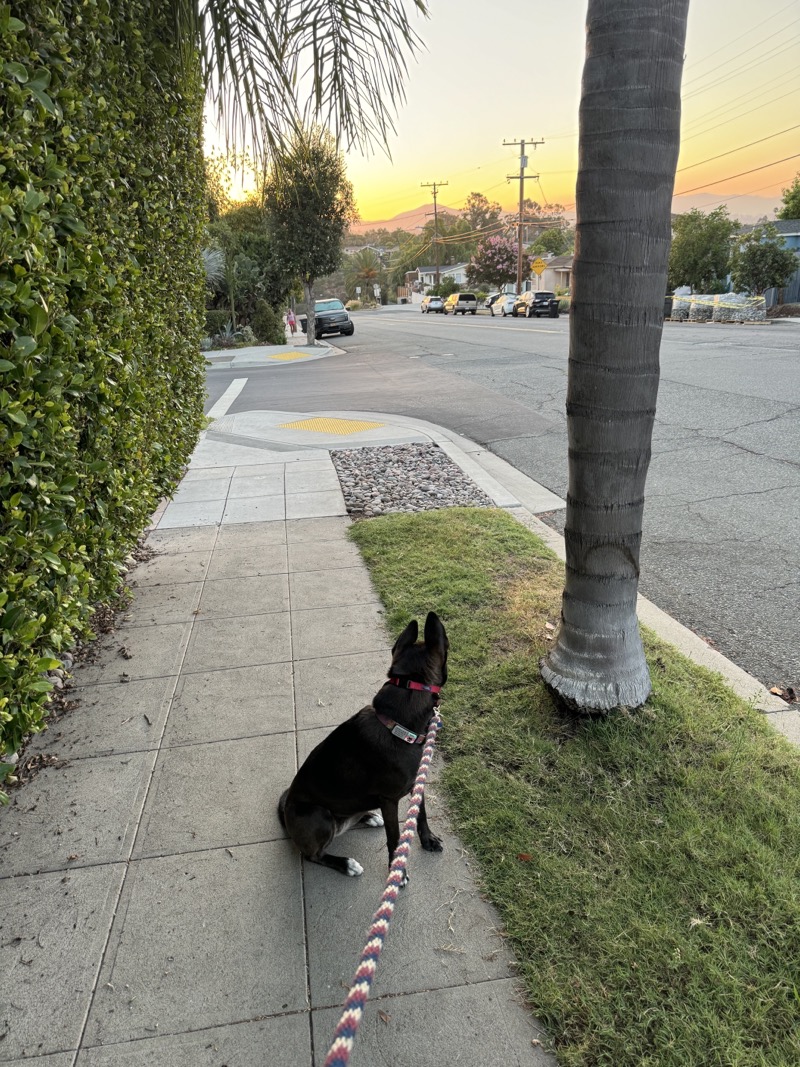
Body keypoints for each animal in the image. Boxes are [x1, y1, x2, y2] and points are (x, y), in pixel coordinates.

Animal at [279, 614, 448, 879]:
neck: (397, 724)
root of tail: (285, 813)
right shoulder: (389, 800)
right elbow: (395, 837)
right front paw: (396, 871)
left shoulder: (416, 783)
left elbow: (421, 814)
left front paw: (427, 840)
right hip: (319, 815)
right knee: (311, 855)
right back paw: (345, 864)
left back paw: (368, 817)